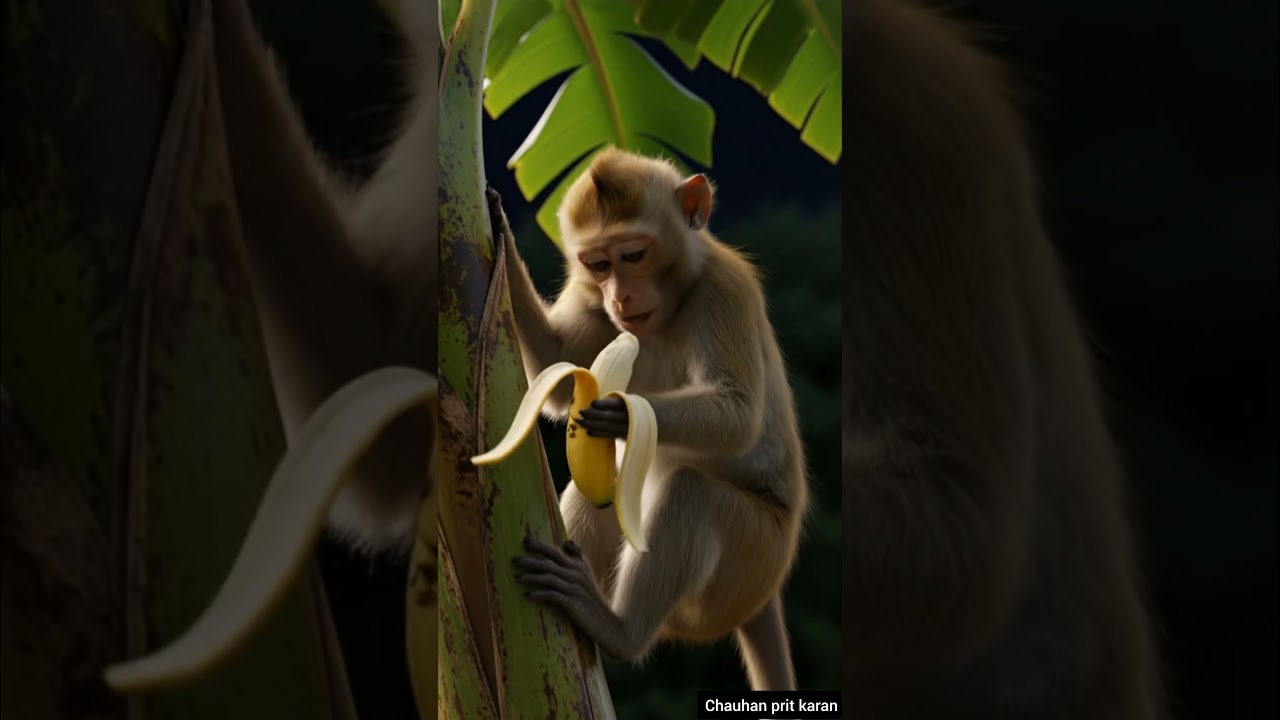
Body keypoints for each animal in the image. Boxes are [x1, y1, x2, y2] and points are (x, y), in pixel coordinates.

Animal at [487, 147, 810, 692]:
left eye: (634, 256)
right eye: (598, 264)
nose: (620, 297)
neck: (671, 308)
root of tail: (762, 598)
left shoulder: (723, 290)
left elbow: (738, 413)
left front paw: (619, 412)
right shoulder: (590, 298)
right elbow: (556, 370)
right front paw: (500, 233)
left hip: (751, 560)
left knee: (690, 493)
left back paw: (617, 630)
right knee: (602, 495)